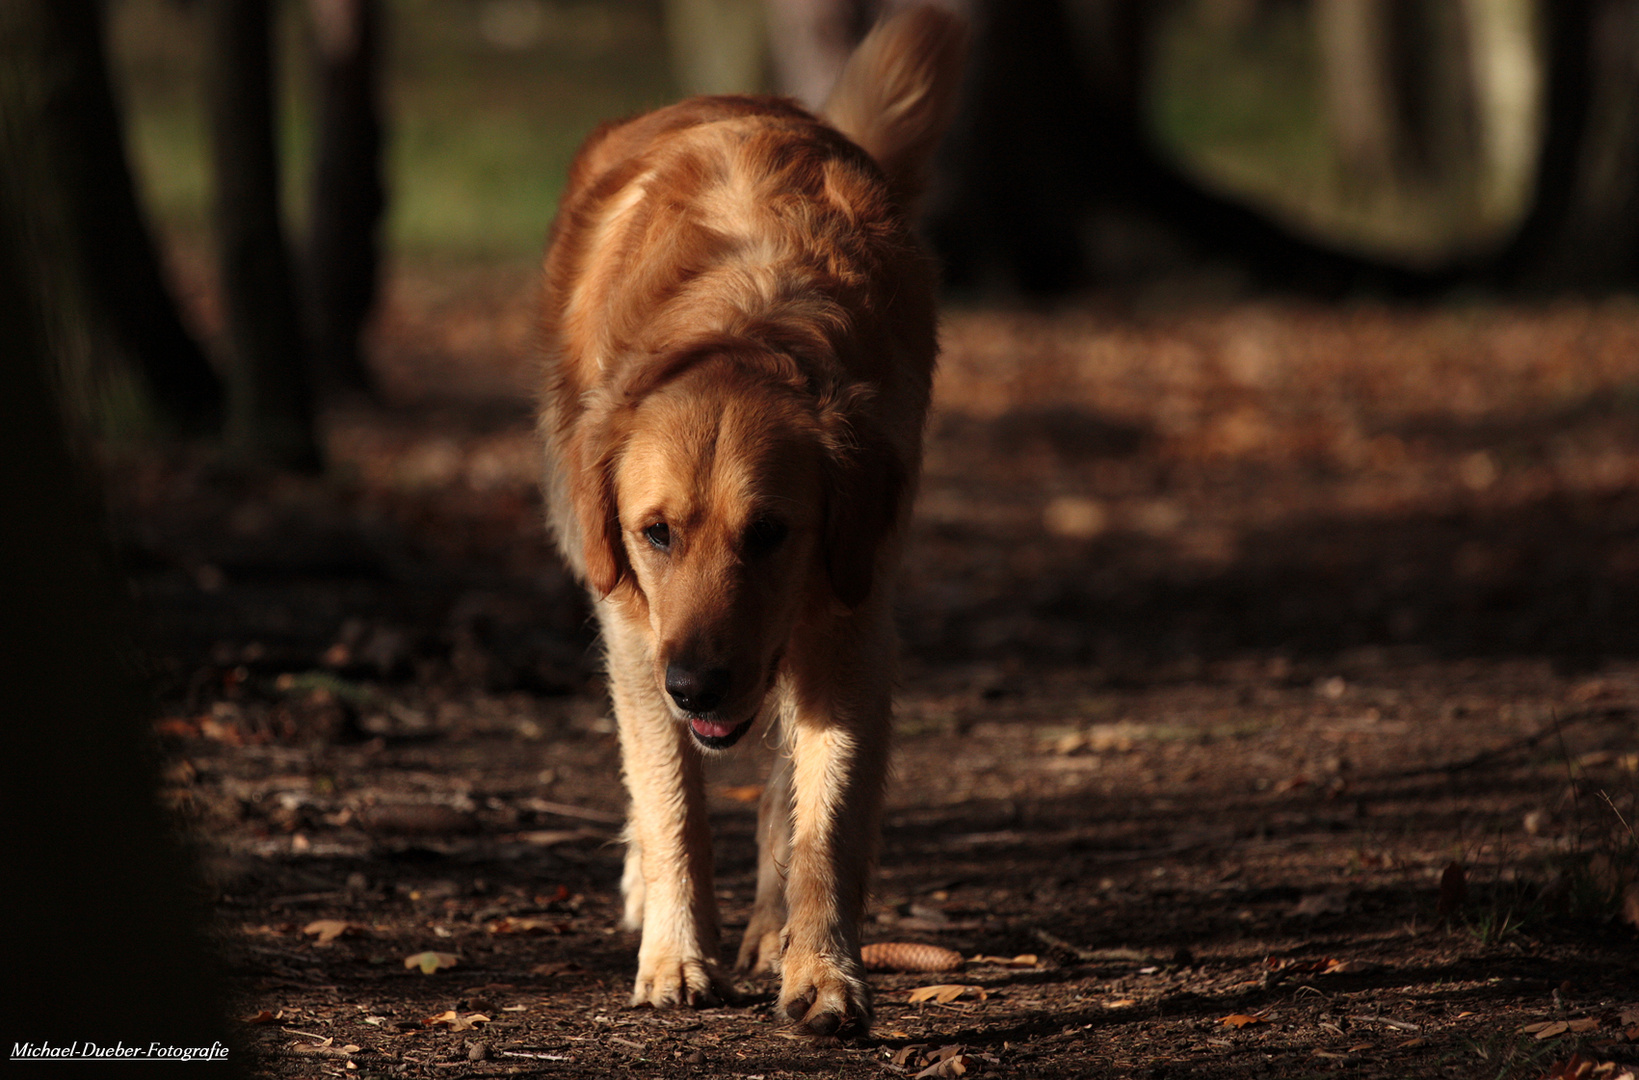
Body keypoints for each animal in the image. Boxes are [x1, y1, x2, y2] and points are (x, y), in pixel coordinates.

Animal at [537, 6, 970, 1042]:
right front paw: (674, 954)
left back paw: (772, 925)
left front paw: (821, 969)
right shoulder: (635, 627)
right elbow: (670, 803)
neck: (746, 316)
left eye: (770, 532)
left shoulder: (851, 622)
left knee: (780, 783)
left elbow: (824, 819)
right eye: (654, 533)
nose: (696, 685)